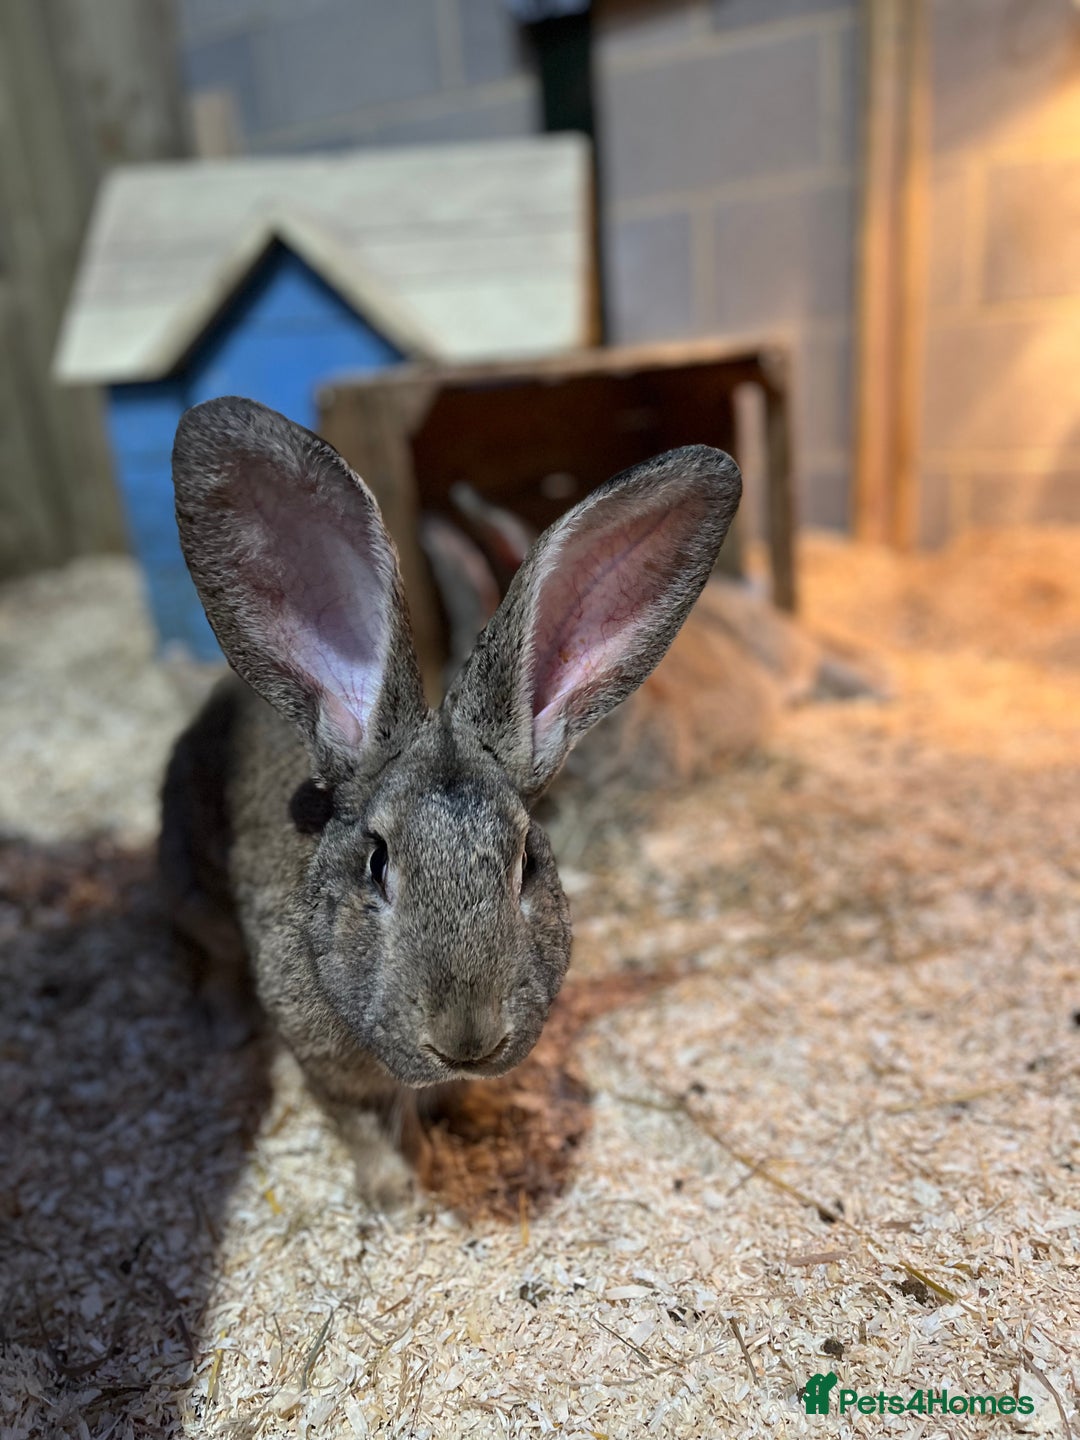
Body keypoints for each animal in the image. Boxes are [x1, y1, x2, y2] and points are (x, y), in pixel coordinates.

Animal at [161, 395, 741, 1209]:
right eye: (376, 863)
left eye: (528, 862)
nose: (469, 1038)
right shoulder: (324, 1058)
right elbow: (365, 1123)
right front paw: (398, 1195)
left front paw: (459, 1128)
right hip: (192, 881)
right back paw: (220, 1029)